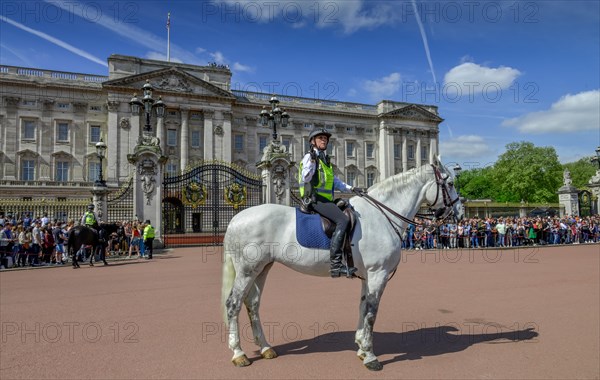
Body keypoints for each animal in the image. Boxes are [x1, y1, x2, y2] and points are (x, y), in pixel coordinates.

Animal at [223, 162, 462, 370]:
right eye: (450, 183)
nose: (459, 213)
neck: (381, 216)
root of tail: (236, 217)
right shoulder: (378, 274)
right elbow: (371, 313)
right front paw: (371, 356)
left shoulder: (368, 277)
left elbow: (363, 308)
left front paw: (362, 348)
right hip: (247, 271)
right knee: (233, 304)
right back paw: (238, 353)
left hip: (262, 269)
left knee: (252, 304)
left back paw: (265, 348)